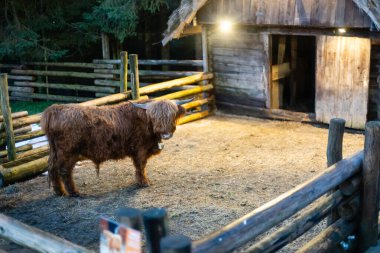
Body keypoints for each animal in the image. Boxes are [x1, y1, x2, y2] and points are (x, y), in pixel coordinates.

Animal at [40, 99, 188, 198]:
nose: (166, 134)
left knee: (53, 169)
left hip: (56, 152)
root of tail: (54, 109)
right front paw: (144, 182)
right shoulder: (140, 149)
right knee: (64, 171)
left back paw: (60, 192)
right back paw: (74, 193)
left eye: (172, 116)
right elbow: (141, 166)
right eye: (155, 117)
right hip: (68, 152)